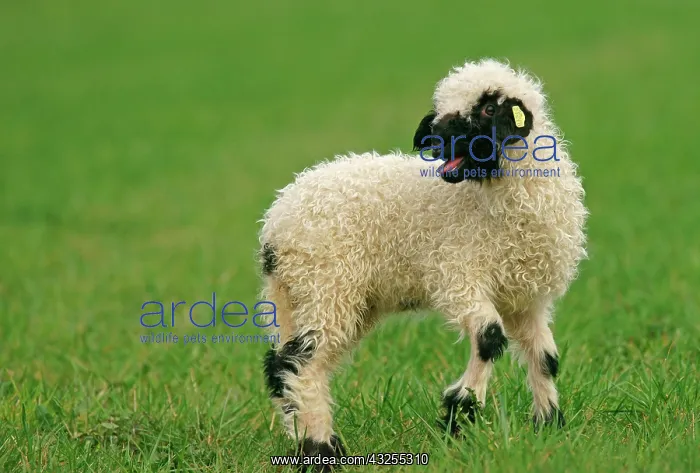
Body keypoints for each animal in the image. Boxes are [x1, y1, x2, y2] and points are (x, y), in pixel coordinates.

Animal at [258, 58, 588, 466]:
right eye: (440, 104)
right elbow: (489, 337)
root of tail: (275, 225)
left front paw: (549, 427)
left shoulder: (527, 299)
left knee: (282, 365)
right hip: (327, 284)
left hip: (309, 296)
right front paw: (459, 411)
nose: (432, 138)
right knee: (300, 362)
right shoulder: (457, 274)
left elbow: (546, 359)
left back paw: (309, 442)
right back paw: (321, 449)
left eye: (488, 108)